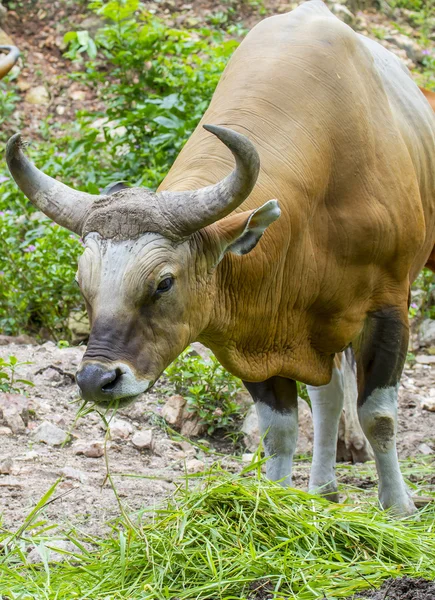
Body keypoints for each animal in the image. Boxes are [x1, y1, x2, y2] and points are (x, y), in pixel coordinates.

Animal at [4, 1, 435, 516]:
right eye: (81, 284)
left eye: (163, 282)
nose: (95, 380)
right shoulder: (262, 331)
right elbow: (279, 428)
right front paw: (274, 501)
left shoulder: (389, 307)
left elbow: (379, 416)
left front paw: (399, 508)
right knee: (328, 396)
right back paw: (323, 488)